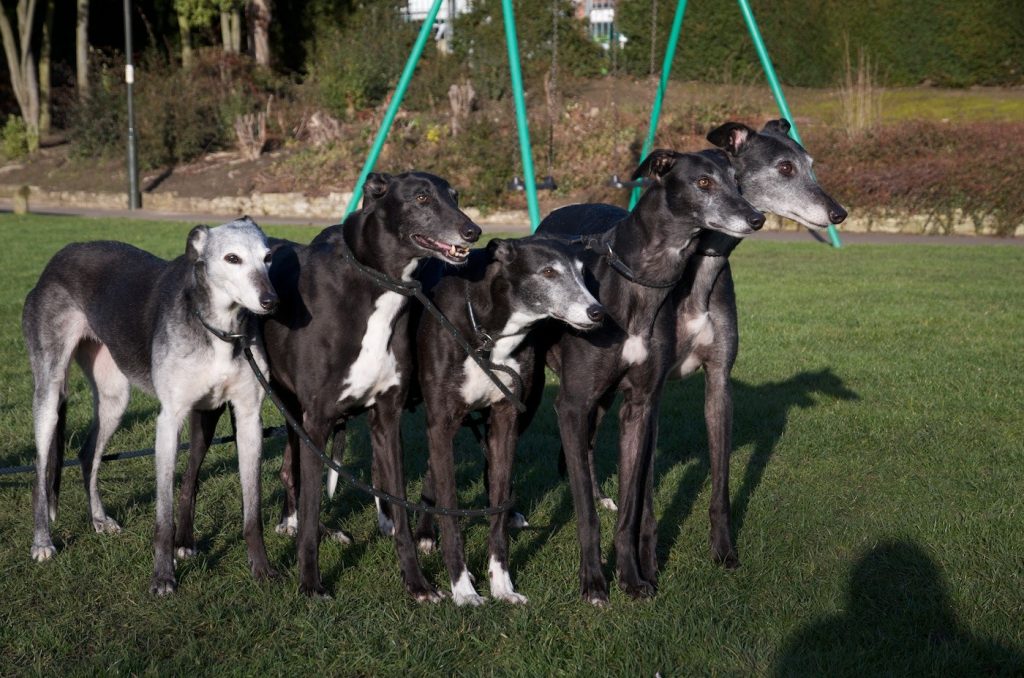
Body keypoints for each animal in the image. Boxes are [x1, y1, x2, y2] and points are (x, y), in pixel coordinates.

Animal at [22, 217, 279, 595]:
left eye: (268, 257)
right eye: (232, 258)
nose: (271, 301)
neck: (218, 329)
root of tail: (57, 258)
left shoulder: (248, 417)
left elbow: (253, 509)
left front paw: (262, 569)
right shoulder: (169, 420)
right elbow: (164, 515)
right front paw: (163, 577)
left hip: (114, 398)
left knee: (87, 454)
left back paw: (99, 520)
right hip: (50, 392)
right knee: (41, 468)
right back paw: (42, 540)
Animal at [174, 172, 482, 599]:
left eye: (455, 196)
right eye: (421, 198)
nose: (473, 231)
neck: (372, 286)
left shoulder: (385, 418)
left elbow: (397, 507)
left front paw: (417, 583)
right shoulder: (318, 418)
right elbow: (311, 504)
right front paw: (310, 583)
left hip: (290, 408)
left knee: (292, 475)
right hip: (219, 408)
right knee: (191, 476)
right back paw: (185, 542)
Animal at [407, 236, 604, 605]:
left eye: (583, 273)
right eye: (548, 272)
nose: (597, 312)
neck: (487, 335)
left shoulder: (505, 419)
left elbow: (497, 509)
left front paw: (502, 586)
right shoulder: (441, 421)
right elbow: (451, 510)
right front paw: (463, 589)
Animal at [533, 150, 764, 604]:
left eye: (736, 180)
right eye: (704, 182)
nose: (756, 218)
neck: (640, 282)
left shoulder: (640, 403)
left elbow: (630, 509)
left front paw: (631, 578)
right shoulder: (571, 404)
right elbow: (587, 516)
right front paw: (594, 582)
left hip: (603, 400)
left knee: (589, 450)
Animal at [543, 119, 848, 572]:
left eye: (810, 163)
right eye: (785, 168)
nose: (839, 213)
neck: (699, 271)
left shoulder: (718, 380)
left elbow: (720, 480)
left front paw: (723, 549)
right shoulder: (653, 390)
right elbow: (645, 490)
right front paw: (647, 558)